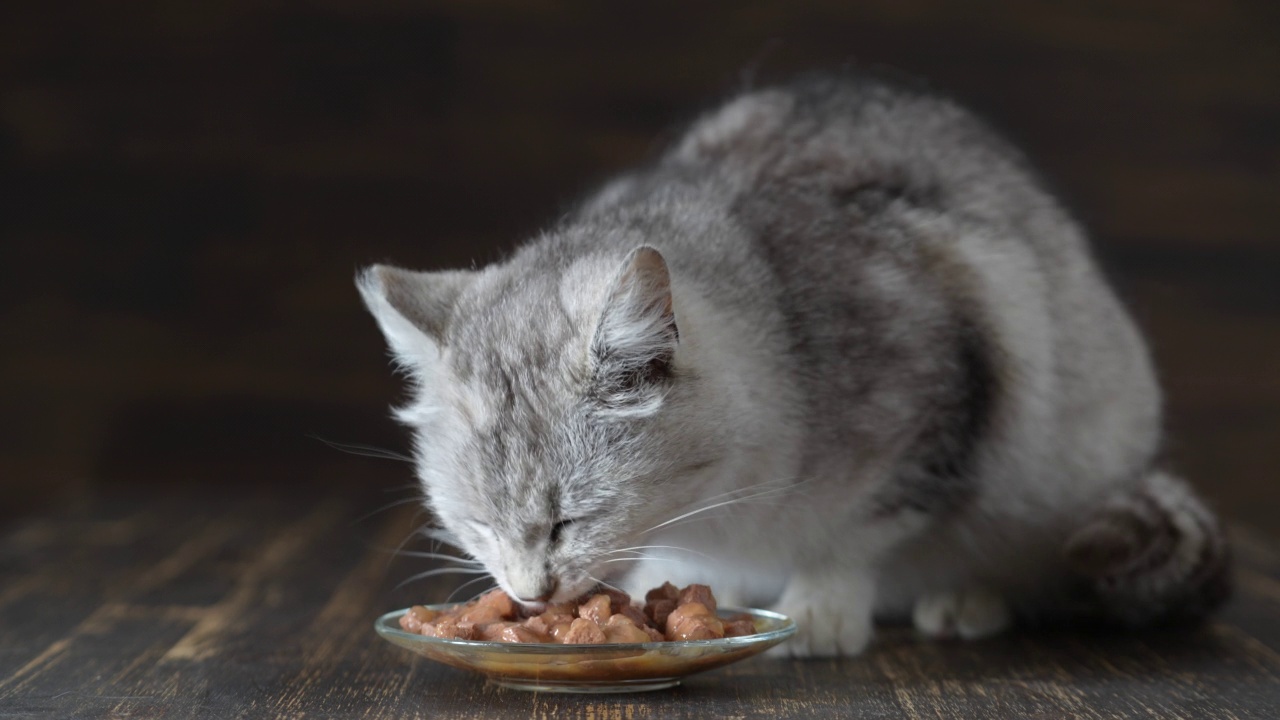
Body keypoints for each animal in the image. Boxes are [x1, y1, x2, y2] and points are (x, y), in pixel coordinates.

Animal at [358, 70, 1228, 653]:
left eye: (570, 519)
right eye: (475, 525)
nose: (528, 595)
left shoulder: (932, 412)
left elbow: (852, 534)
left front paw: (817, 612)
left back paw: (964, 601)